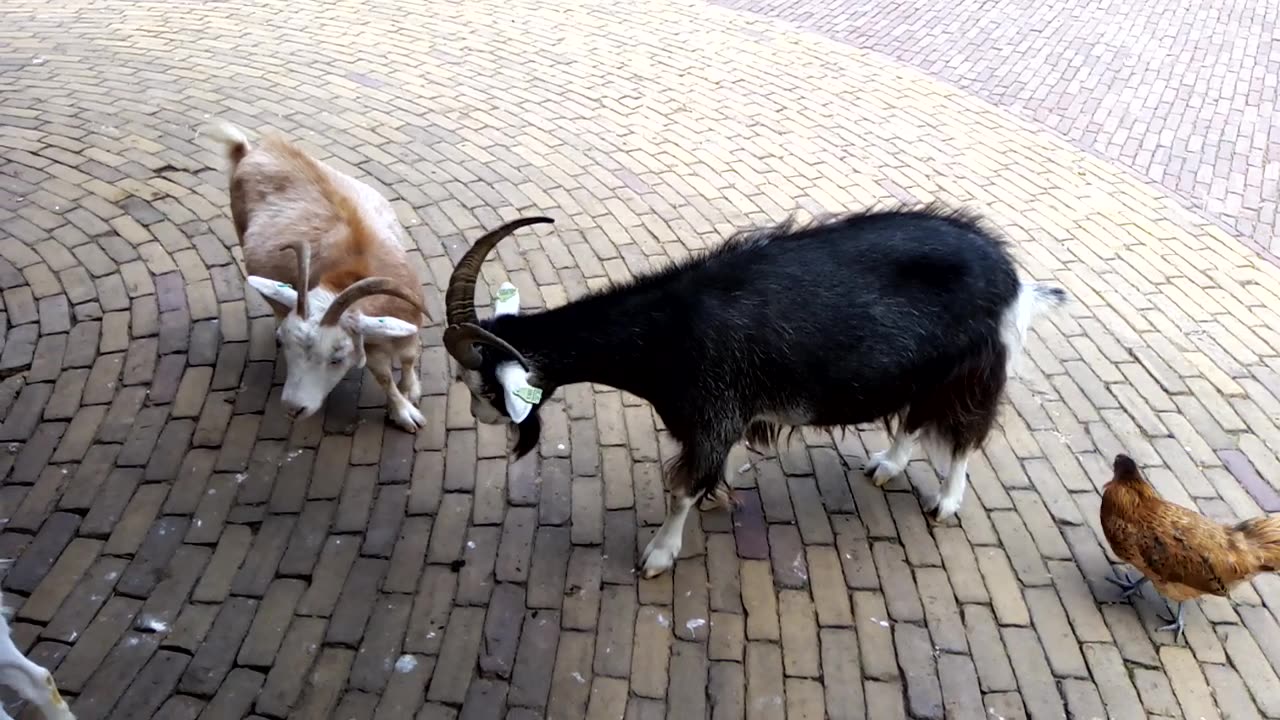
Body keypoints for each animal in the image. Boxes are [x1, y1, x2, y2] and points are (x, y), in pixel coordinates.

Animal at [204, 121, 430, 430]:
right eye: (289, 347)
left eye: (337, 358)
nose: (293, 408)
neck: (349, 273)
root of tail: (249, 152)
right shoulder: (371, 342)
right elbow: (383, 375)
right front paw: (404, 411)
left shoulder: (404, 322)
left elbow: (408, 357)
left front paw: (412, 391)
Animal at [445, 204, 1064, 573]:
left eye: (485, 388)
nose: (477, 418)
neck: (668, 330)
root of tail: (1015, 277)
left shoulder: (713, 415)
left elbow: (683, 490)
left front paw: (659, 554)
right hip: (920, 369)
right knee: (913, 417)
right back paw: (888, 465)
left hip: (972, 368)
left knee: (965, 433)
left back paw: (947, 501)